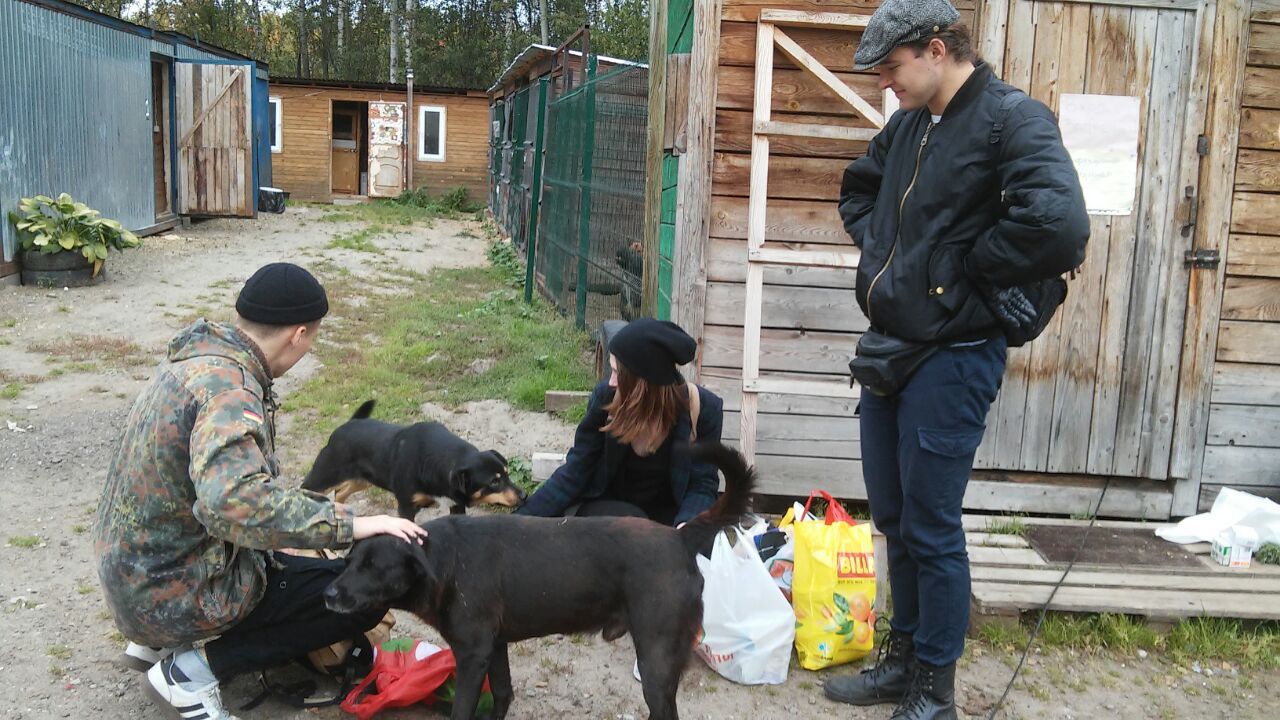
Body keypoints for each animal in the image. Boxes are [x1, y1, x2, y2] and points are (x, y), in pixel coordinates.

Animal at [301, 400, 525, 519]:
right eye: (494, 482)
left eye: (507, 474)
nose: (523, 496)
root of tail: (346, 425)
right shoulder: (406, 508)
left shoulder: (455, 505)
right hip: (322, 478)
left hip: (363, 480)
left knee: (341, 493)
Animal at [323, 441, 755, 720]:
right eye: (349, 561)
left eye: (374, 566)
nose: (328, 593)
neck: (445, 561)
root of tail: (678, 537)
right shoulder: (494, 647)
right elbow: (503, 694)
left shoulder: (472, 654)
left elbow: (463, 710)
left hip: (656, 658)